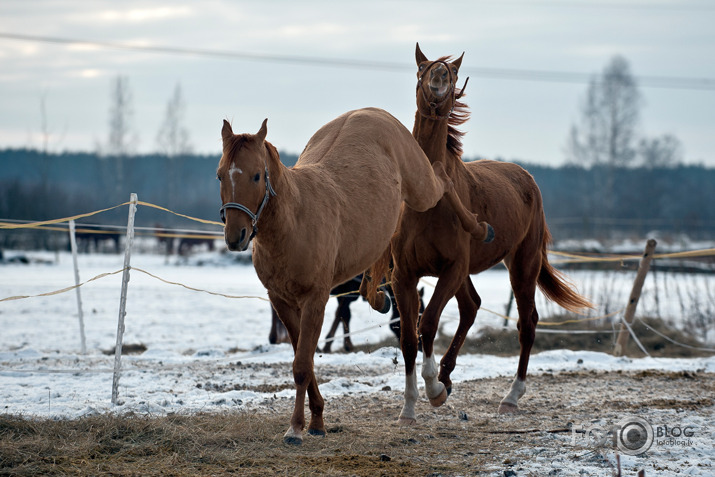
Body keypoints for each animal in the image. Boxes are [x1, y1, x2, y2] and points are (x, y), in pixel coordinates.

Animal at [218, 107, 492, 442]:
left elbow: (302, 366)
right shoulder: (282, 301)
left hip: (421, 189)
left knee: (443, 180)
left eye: (256, 175)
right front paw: (317, 421)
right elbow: (304, 359)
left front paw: (296, 428)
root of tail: (371, 111)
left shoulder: (316, 300)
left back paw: (479, 227)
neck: (294, 220)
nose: (236, 236)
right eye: (220, 175)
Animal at [366, 45, 592, 424]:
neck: (429, 201)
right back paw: (447, 375)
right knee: (472, 307)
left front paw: (434, 391)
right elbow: (410, 338)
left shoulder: (451, 268)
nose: (439, 79)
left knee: (527, 323)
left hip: (522, 264)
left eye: (453, 72)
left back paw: (510, 396)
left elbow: (428, 323)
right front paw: (410, 407)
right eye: (422, 68)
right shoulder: (405, 276)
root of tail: (527, 179)